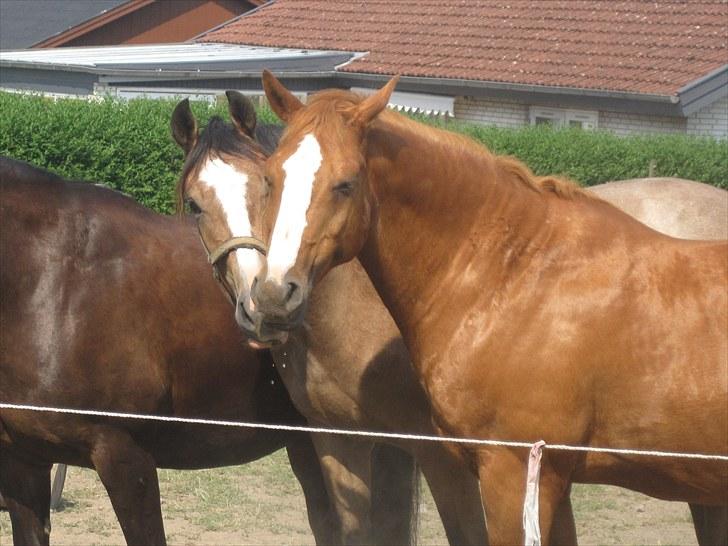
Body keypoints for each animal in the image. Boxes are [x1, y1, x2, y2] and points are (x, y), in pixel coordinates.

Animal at [249, 73, 724, 544]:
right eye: (270, 179)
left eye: (345, 184)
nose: (274, 294)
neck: (518, 278)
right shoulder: (552, 479)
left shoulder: (513, 474)